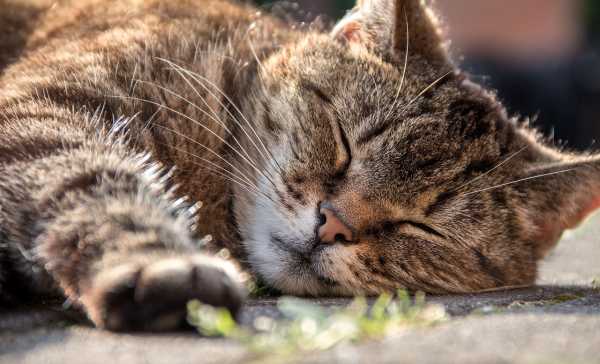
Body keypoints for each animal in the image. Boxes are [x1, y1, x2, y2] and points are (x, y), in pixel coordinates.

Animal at [1, 0, 600, 332]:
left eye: (421, 225)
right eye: (343, 141)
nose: (332, 224)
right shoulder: (40, 111)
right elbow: (89, 184)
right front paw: (157, 263)